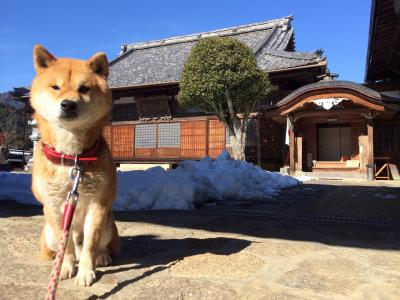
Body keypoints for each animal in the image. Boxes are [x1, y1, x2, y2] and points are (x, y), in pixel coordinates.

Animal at [30, 44, 119, 286]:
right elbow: (67, 246)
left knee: (98, 245)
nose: (68, 104)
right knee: (65, 246)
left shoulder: (97, 205)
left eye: (84, 89)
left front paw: (86, 272)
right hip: (49, 232)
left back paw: (103, 256)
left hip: (108, 223)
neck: (73, 158)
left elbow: (90, 244)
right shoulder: (54, 206)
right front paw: (66, 267)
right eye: (56, 87)